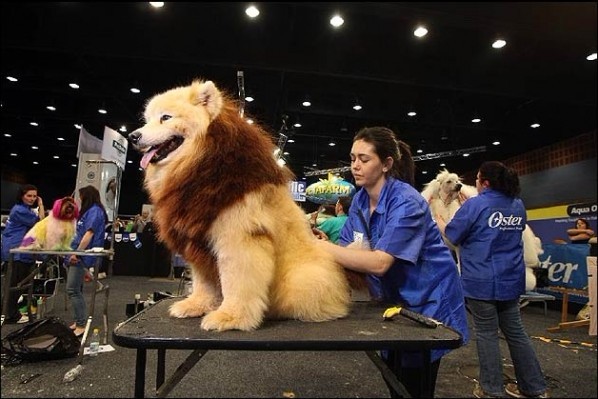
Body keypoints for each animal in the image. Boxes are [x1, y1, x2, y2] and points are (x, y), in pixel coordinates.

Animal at [131, 79, 356, 332]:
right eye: (147, 119)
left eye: (166, 117)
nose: (133, 136)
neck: (201, 163)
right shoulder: (198, 242)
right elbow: (203, 282)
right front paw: (197, 305)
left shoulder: (238, 240)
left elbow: (237, 283)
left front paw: (229, 317)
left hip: (302, 279)